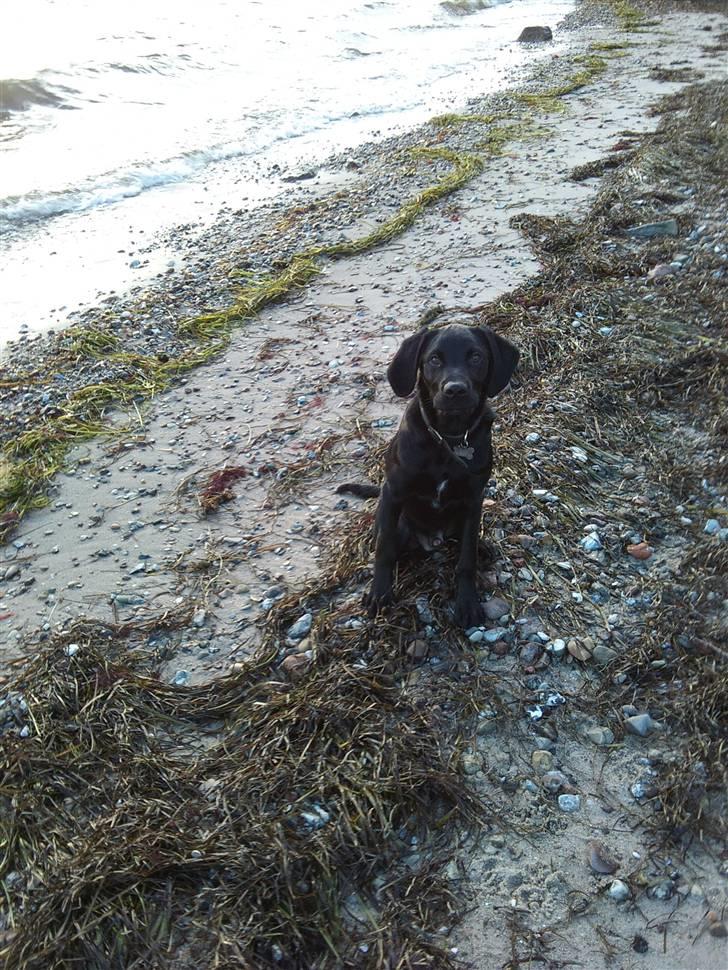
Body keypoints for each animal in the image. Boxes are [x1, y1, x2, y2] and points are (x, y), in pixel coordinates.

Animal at [340, 320, 516, 628]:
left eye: (476, 357)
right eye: (434, 359)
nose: (455, 390)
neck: (448, 438)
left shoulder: (473, 500)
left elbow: (466, 559)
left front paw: (467, 603)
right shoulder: (393, 492)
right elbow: (384, 549)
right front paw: (379, 594)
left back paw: (483, 547)